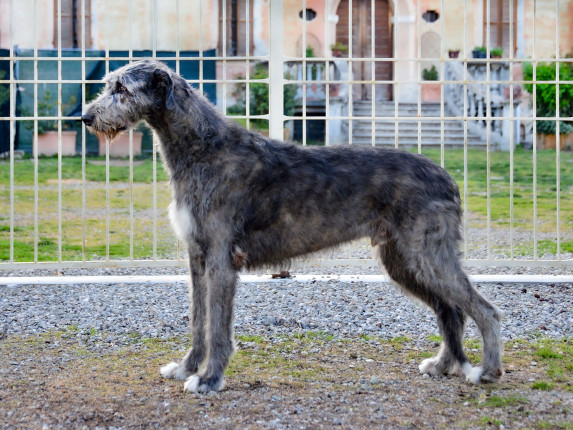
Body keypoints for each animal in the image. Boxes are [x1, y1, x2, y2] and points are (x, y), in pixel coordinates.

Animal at [82, 59, 502, 394]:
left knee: (483, 310)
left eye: (122, 89)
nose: (86, 118)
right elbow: (198, 320)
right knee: (450, 311)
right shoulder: (197, 257)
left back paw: (488, 370)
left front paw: (209, 379)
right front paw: (187, 367)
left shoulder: (220, 259)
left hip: (427, 253)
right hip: (402, 260)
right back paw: (443, 364)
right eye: (109, 84)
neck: (204, 147)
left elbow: (217, 327)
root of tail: (447, 177)